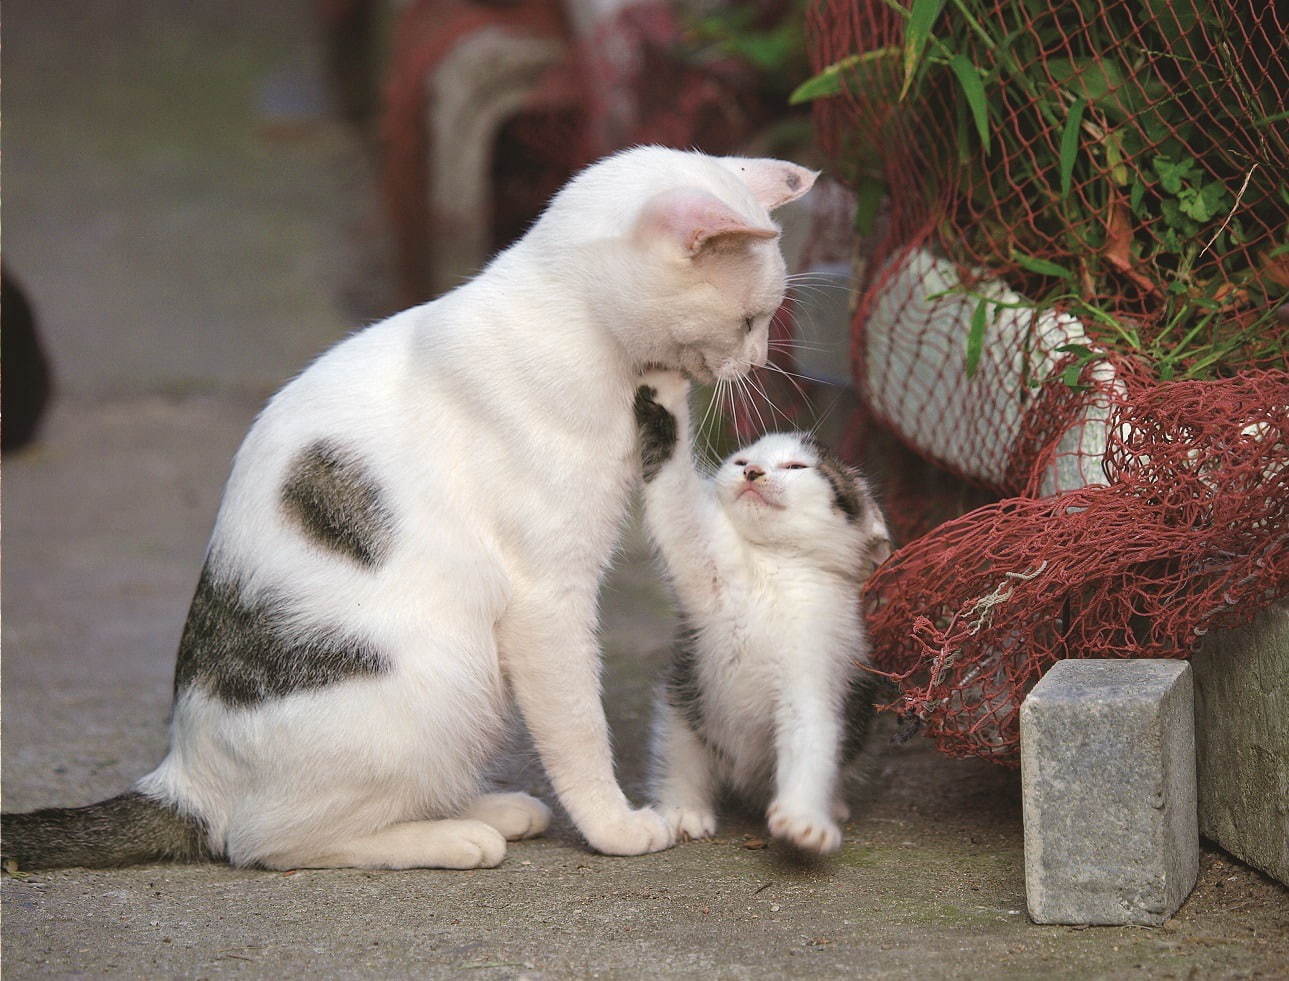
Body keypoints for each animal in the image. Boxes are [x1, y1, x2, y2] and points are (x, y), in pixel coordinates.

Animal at [2, 147, 814, 871]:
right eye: (751, 319)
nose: (755, 361)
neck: (572, 327)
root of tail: (184, 773)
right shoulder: (547, 595)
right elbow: (578, 727)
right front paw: (614, 826)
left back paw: (486, 809)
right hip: (451, 673)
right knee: (265, 842)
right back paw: (455, 839)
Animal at [631, 371, 891, 855]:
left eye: (796, 467)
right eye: (741, 461)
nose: (753, 472)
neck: (776, 568)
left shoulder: (819, 663)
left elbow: (812, 733)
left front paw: (804, 821)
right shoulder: (707, 570)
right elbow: (675, 508)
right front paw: (666, 389)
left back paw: (833, 804)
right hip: (685, 708)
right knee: (679, 751)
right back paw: (683, 807)